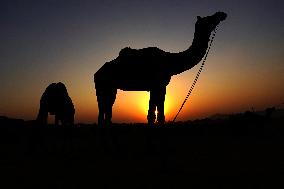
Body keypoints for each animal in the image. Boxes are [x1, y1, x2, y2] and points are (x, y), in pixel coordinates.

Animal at [94, 11, 227, 125]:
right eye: (208, 18)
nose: (221, 14)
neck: (170, 61)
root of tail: (96, 73)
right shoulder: (157, 85)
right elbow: (154, 115)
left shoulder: (159, 86)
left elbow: (157, 114)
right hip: (101, 86)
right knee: (102, 111)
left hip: (111, 88)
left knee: (107, 111)